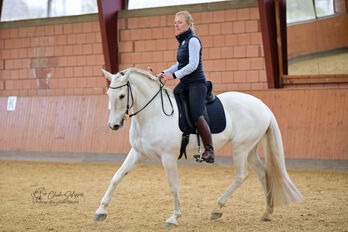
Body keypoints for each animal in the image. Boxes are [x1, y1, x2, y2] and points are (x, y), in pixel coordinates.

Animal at [94, 67, 304, 227]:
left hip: (241, 147)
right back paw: (267, 212)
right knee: (262, 173)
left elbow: (173, 186)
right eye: (108, 94)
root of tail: (263, 105)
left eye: (122, 95)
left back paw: (217, 208)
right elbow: (116, 177)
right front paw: (101, 211)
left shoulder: (168, 157)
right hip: (250, 149)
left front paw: (174, 217)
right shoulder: (138, 153)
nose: (113, 125)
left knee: (241, 175)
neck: (153, 114)